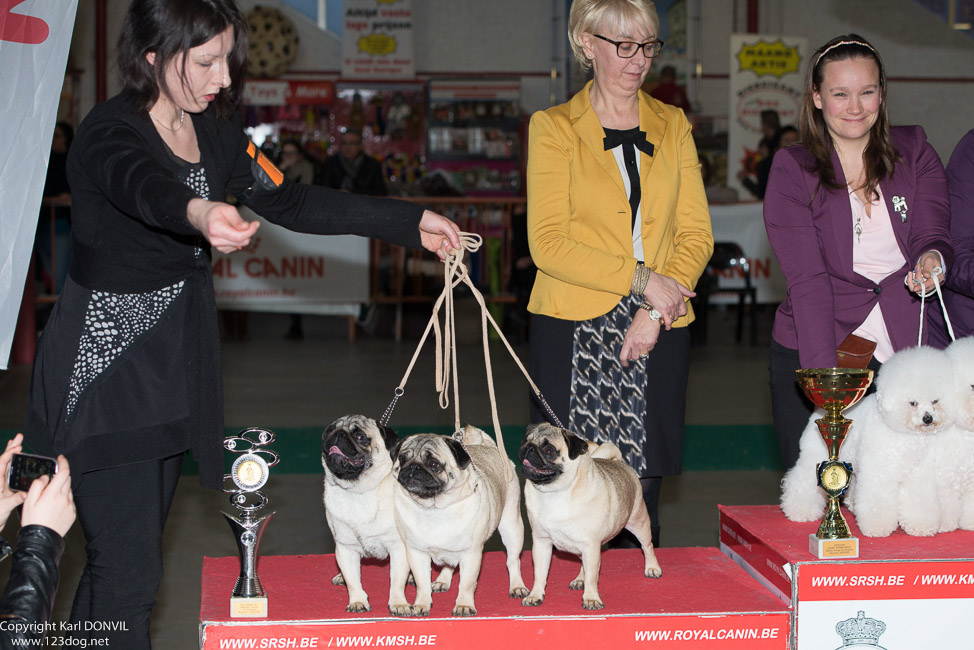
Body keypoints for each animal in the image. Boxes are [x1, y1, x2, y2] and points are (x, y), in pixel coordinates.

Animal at [844, 344, 956, 536]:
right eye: (913, 403)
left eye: (935, 401)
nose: (928, 418)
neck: (906, 436)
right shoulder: (879, 473)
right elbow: (877, 502)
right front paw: (877, 528)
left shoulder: (917, 474)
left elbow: (918, 501)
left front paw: (920, 526)